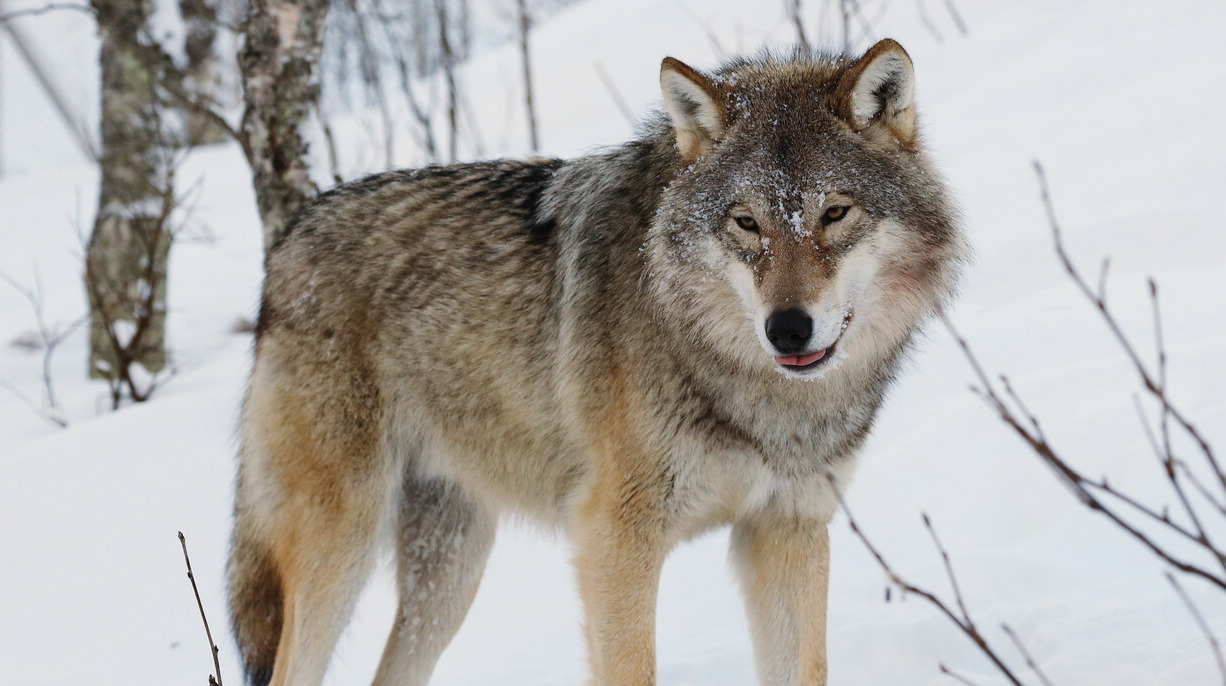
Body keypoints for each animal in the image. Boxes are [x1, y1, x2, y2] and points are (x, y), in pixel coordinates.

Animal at [225, 38, 961, 686]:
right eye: (746, 223)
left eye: (835, 213)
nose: (786, 330)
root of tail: (289, 240)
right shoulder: (615, 539)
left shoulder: (787, 529)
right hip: (341, 547)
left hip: (450, 571)